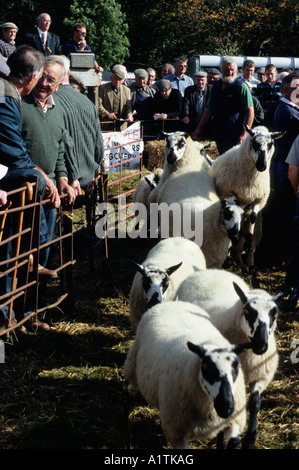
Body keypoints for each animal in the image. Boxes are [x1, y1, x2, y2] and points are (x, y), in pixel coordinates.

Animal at [123, 300, 250, 450]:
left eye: (237, 366)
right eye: (205, 366)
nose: (226, 406)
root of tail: (175, 302)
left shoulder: (235, 420)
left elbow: (233, 441)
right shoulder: (175, 431)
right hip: (133, 357)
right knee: (132, 378)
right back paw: (131, 392)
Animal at [177, 268, 288, 448]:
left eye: (275, 313)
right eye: (247, 311)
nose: (261, 345)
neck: (250, 355)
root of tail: (210, 270)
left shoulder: (261, 375)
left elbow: (255, 402)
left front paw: (250, 439)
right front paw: (221, 442)